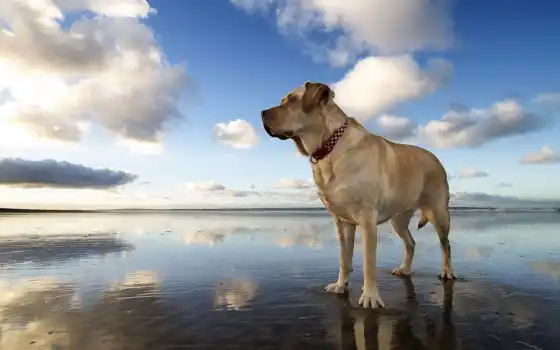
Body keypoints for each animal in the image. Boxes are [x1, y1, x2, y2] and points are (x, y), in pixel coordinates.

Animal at [262, 82, 456, 308]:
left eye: (292, 100)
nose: (262, 113)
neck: (329, 147)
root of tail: (436, 158)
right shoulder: (342, 221)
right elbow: (344, 258)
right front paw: (341, 285)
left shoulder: (367, 219)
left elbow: (368, 263)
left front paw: (370, 297)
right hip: (398, 219)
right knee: (411, 243)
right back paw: (405, 269)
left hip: (439, 213)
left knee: (445, 245)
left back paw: (447, 271)